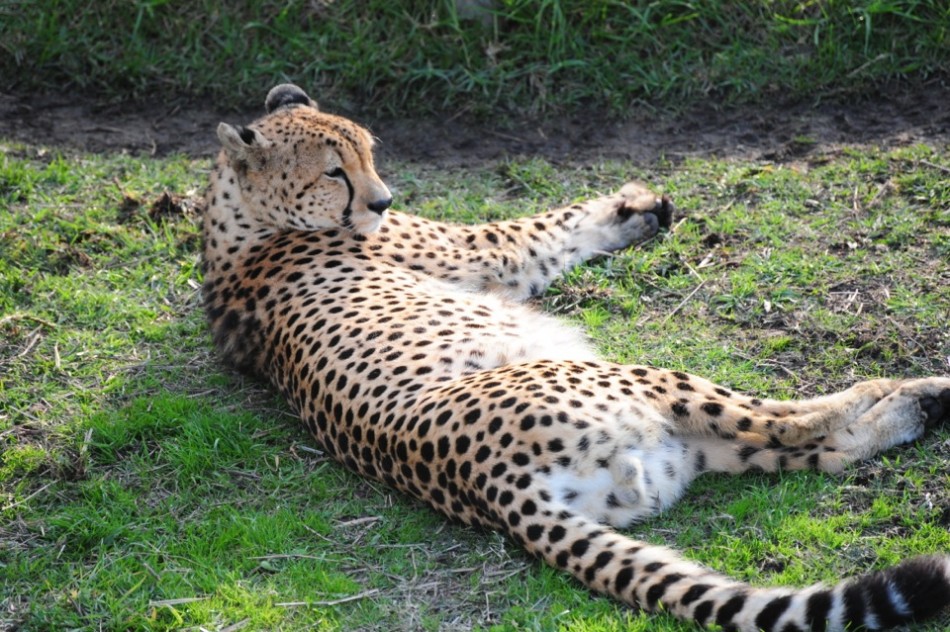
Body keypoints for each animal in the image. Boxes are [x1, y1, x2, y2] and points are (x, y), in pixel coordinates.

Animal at [202, 83, 950, 631]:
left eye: (367, 152)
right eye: (335, 170)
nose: (383, 200)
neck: (237, 217)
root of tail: (495, 491)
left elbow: (555, 239)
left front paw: (633, 212)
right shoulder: (482, 251)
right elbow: (536, 226)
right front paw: (632, 203)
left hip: (679, 453)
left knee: (820, 454)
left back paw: (913, 411)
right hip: (645, 381)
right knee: (790, 422)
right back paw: (911, 388)